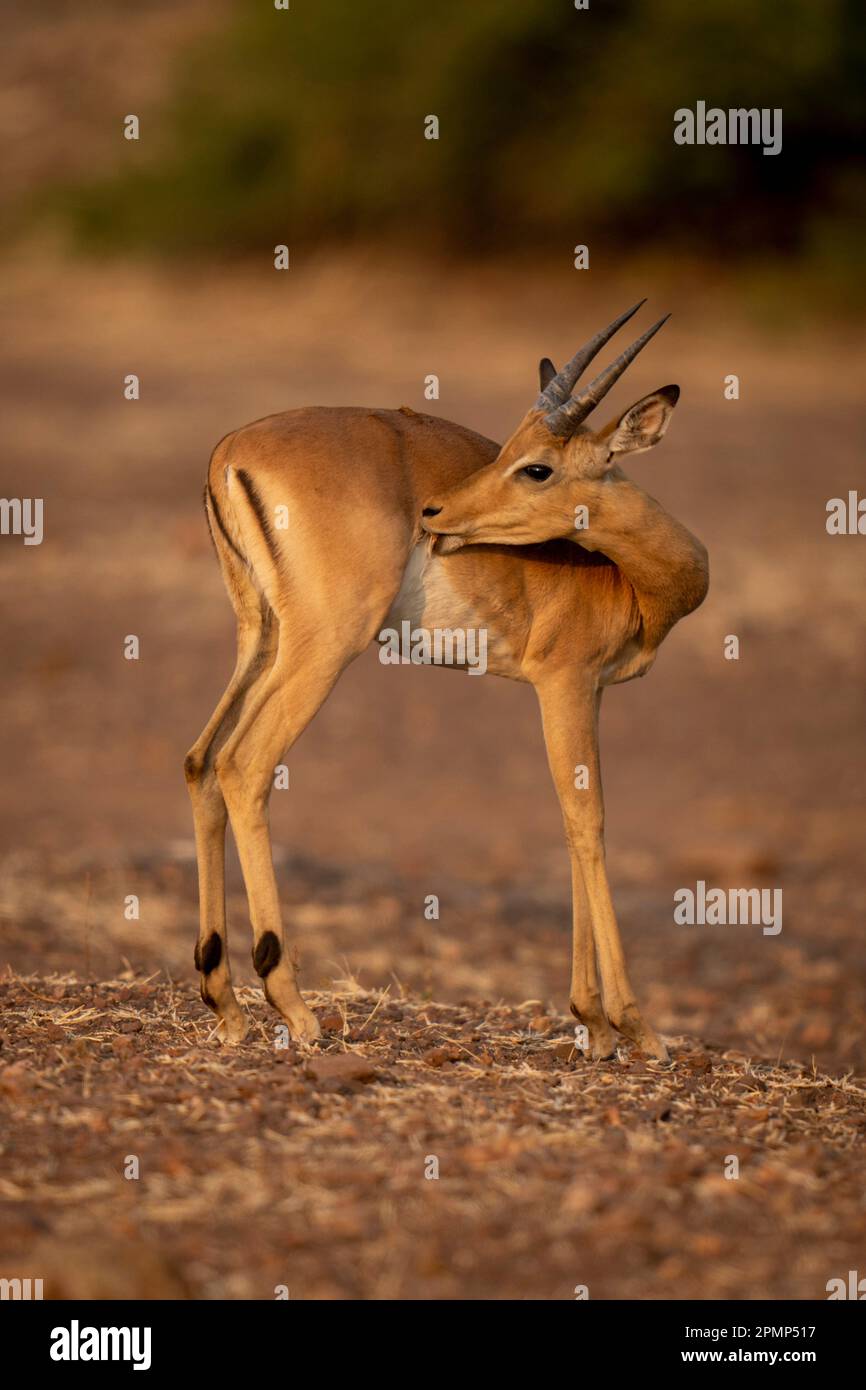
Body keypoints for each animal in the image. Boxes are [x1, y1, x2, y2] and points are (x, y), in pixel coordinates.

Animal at [185, 303, 708, 1061]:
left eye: (535, 464)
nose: (436, 515)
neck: (626, 580)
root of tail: (228, 453)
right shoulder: (565, 682)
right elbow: (589, 821)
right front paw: (631, 1026)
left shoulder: (591, 691)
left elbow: (567, 820)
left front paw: (594, 1026)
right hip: (325, 647)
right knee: (244, 764)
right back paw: (296, 1009)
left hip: (261, 637)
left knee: (200, 761)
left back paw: (224, 1002)